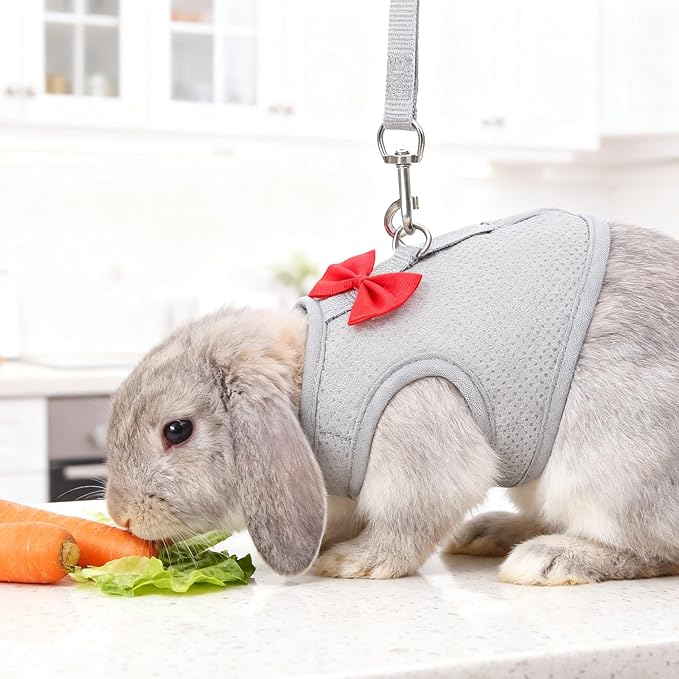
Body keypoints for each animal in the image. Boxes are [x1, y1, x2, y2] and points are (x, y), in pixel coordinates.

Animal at [106, 222, 679, 584]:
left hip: (613, 464)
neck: (304, 383)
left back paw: (550, 560)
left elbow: (414, 515)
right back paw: (490, 532)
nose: (122, 518)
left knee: (655, 547)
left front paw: (357, 562)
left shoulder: (414, 424)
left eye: (177, 430)